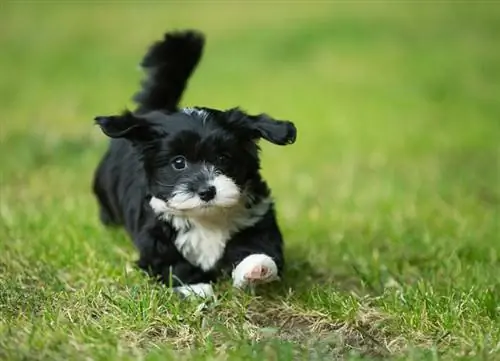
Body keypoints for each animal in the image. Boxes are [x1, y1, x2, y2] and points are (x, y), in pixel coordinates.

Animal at [92, 30, 296, 296]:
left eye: (223, 158)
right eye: (179, 163)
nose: (207, 191)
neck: (206, 218)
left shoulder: (256, 216)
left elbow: (257, 244)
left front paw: (257, 267)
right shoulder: (155, 234)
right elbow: (171, 262)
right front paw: (195, 286)